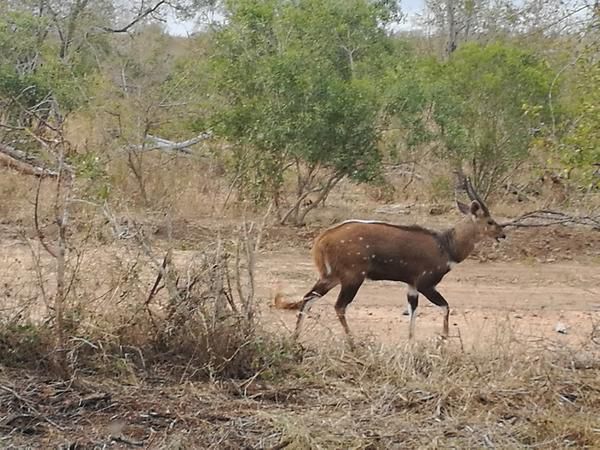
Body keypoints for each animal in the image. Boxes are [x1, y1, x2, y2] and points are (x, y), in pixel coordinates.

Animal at [276, 176, 506, 342]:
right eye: (490, 221)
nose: (503, 234)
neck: (447, 246)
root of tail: (322, 239)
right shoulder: (425, 283)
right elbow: (445, 307)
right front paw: (444, 340)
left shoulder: (411, 286)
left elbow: (413, 312)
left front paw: (411, 343)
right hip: (353, 277)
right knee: (339, 306)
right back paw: (353, 343)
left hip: (331, 277)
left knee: (308, 298)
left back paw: (295, 339)